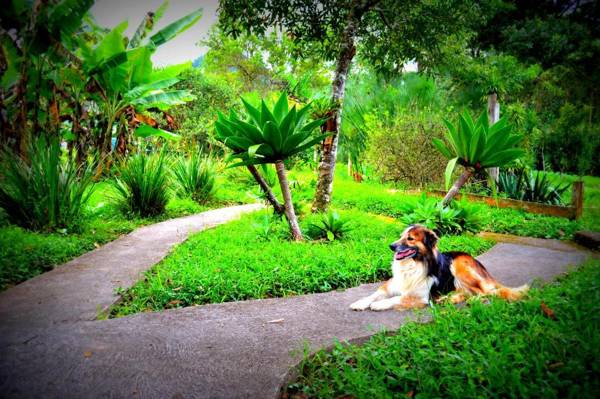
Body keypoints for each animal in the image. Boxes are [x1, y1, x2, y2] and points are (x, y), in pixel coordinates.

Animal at [350, 225, 528, 312]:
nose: (391, 246)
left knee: (484, 292)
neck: (413, 264)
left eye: (410, 239)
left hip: (459, 266)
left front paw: (379, 305)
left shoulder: (420, 297)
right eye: (401, 236)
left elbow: (397, 298)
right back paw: (448, 299)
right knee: (467, 292)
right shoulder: (391, 285)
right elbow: (374, 295)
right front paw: (360, 303)